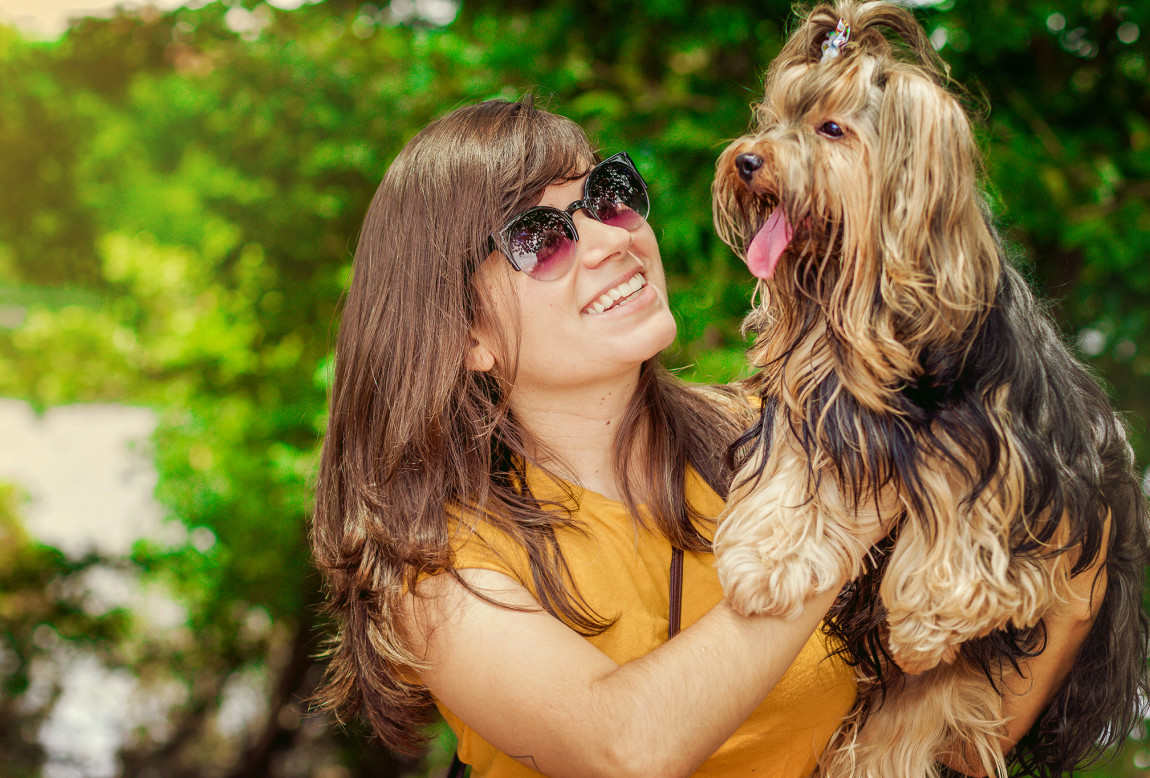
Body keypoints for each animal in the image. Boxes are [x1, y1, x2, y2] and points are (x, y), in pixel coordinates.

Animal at [708, 3, 1150, 772]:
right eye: (775, 116)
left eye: (831, 129)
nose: (748, 159)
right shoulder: (821, 406)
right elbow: (793, 479)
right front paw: (765, 562)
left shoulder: (1006, 443)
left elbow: (962, 503)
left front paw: (926, 616)